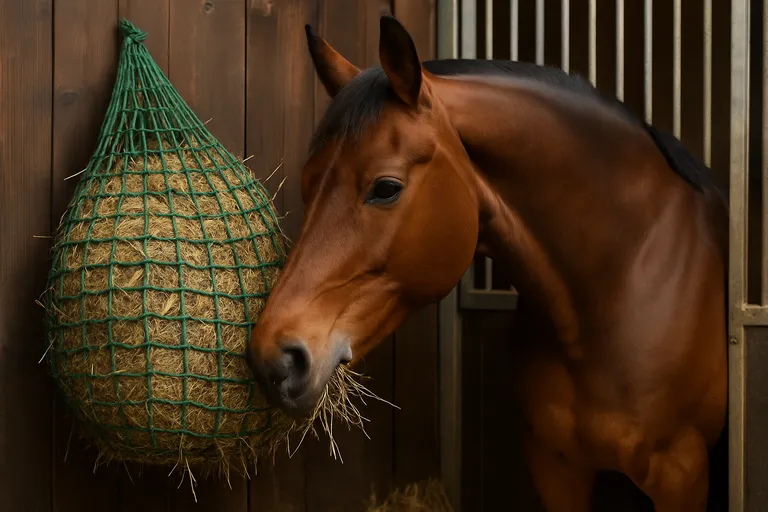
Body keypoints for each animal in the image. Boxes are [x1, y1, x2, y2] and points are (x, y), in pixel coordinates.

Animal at [246, 15, 729, 512]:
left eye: (385, 188)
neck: (622, 281)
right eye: (308, 184)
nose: (273, 358)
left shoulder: (680, 473)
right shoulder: (556, 465)